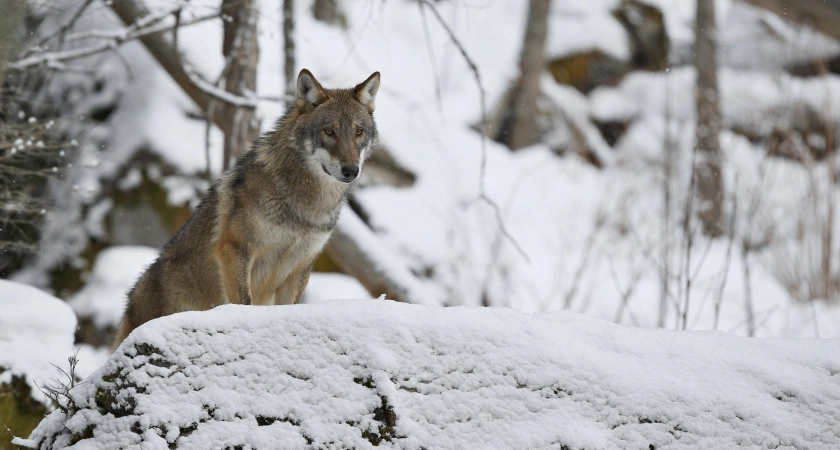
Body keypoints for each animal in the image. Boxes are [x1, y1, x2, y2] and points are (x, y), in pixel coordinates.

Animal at [113, 68, 382, 348]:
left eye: (358, 131)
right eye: (329, 131)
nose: (351, 170)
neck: (305, 207)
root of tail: (129, 305)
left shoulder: (299, 268)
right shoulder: (235, 250)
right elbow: (244, 302)